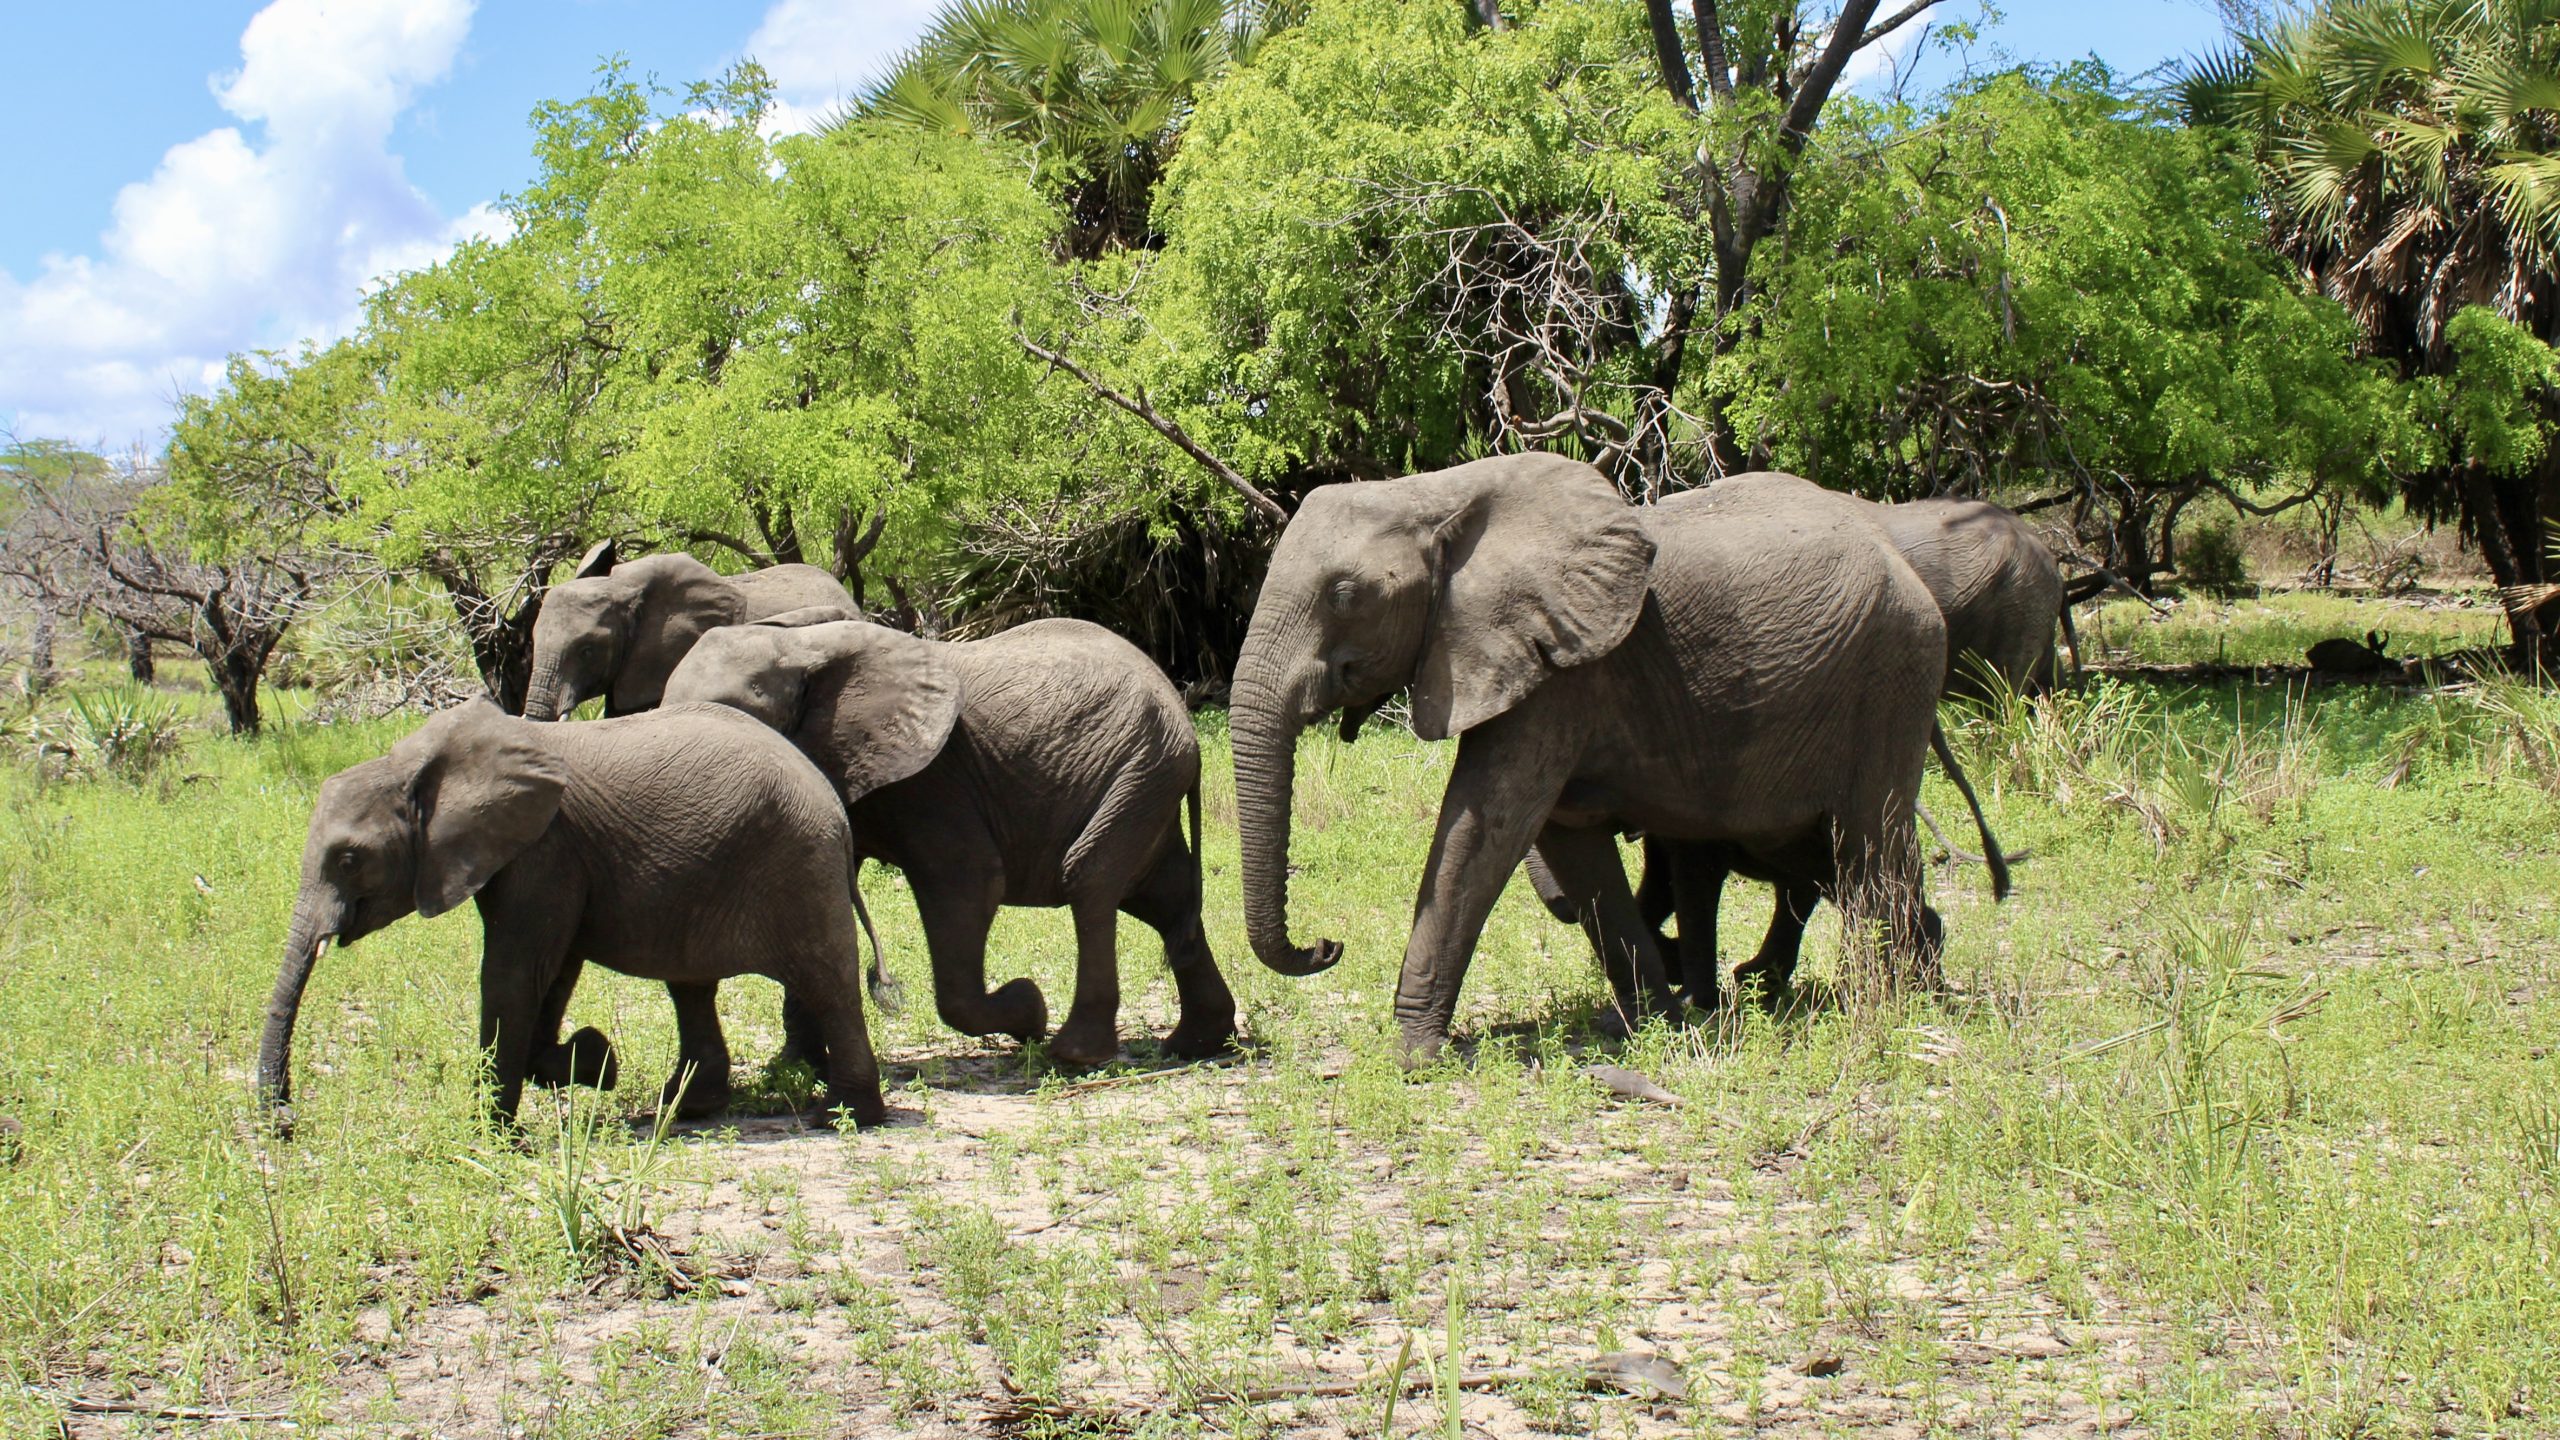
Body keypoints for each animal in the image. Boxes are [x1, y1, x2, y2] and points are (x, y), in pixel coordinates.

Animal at [249, 702, 885, 1127]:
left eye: (348, 859)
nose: (283, 1122)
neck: (412, 766)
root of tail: (833, 805)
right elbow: (551, 973)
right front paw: (592, 1062)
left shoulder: (543, 850)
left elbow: (514, 974)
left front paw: (493, 1138)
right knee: (692, 986)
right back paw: (686, 1108)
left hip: (797, 864)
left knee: (827, 980)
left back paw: (848, 1116)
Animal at [665, 609, 1233, 1060]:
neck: (801, 647)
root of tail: (1180, 707)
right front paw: (796, 1070)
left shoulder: (931, 782)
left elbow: (969, 882)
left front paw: (1028, 1010)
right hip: (1147, 778)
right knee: (1163, 895)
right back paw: (1195, 1044)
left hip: (1140, 765)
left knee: (1090, 877)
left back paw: (1071, 1055)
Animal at [1223, 453, 1996, 1060]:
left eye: (1344, 594)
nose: (1327, 946)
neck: (1433, 494)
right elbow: (1566, 840)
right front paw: (1655, 1025)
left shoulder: (1563, 672)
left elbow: (1485, 825)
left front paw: (1414, 1054)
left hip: (1893, 671)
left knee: (1870, 837)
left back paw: (1890, 1006)